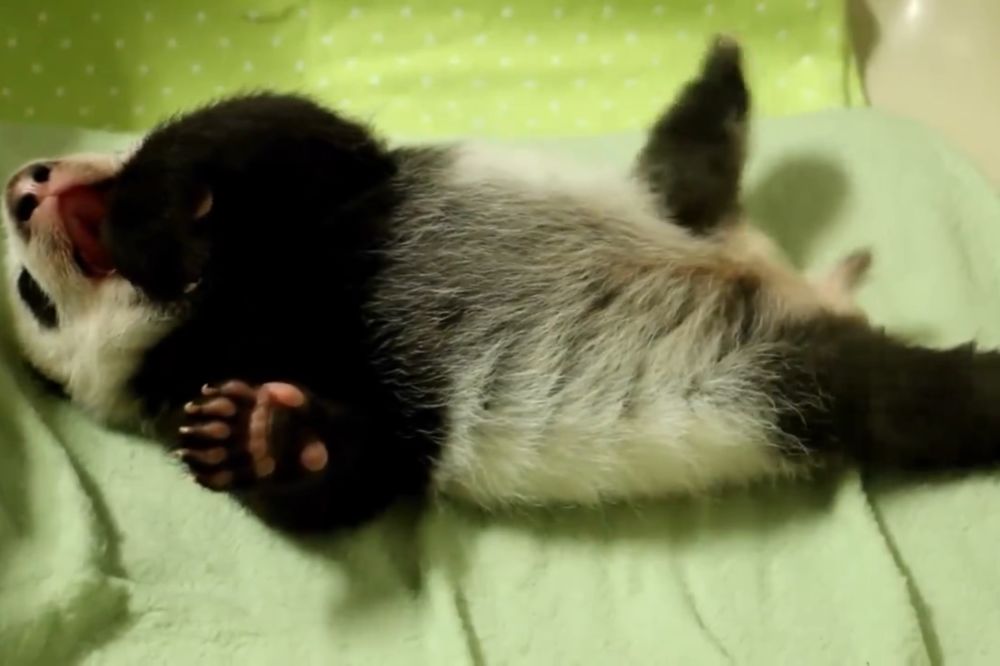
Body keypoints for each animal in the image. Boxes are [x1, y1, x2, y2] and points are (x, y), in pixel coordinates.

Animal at [4, 37, 1000, 532]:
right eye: (34, 298)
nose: (24, 186)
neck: (215, 301)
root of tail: (785, 277)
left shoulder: (346, 192)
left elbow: (282, 128)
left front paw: (150, 212)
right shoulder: (284, 369)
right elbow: (357, 472)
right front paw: (254, 436)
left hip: (667, 215)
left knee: (690, 155)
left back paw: (722, 65)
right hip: (787, 379)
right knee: (916, 399)